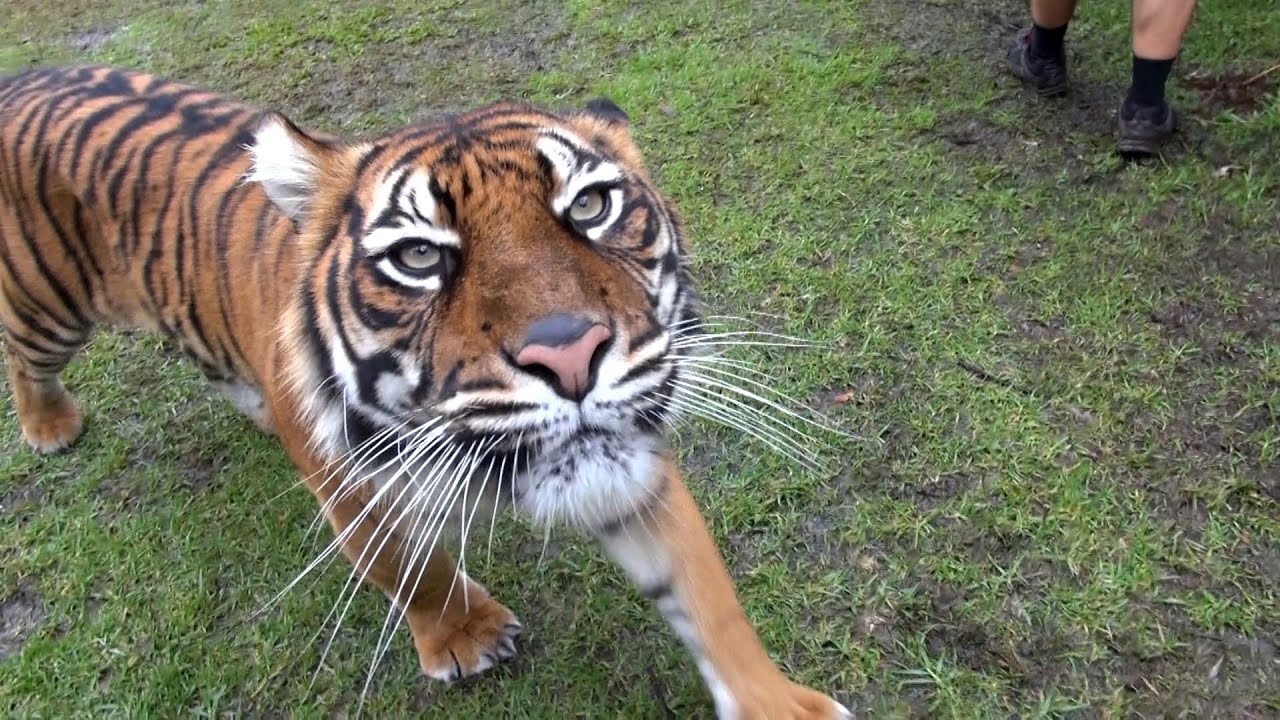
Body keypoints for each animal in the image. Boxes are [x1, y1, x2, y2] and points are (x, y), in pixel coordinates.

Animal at [0, 65, 849, 719]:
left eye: (590, 206)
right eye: (417, 256)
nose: (571, 355)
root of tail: (25, 77)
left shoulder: (629, 462)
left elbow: (709, 598)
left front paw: (777, 704)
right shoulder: (351, 486)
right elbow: (411, 566)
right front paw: (467, 638)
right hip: (49, 308)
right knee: (22, 356)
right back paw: (50, 426)